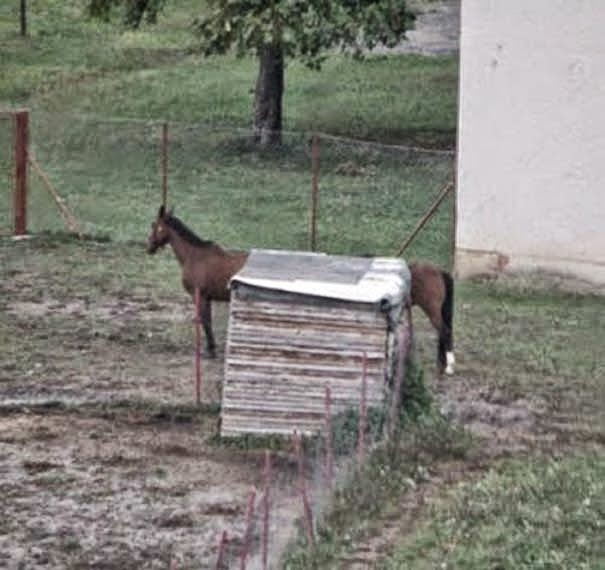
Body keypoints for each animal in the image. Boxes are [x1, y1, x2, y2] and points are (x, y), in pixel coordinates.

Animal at [147, 204, 248, 356]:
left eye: (154, 225)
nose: (149, 247)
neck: (194, 256)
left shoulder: (199, 296)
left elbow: (205, 322)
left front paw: (210, 350)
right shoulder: (208, 297)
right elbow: (208, 321)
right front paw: (211, 348)